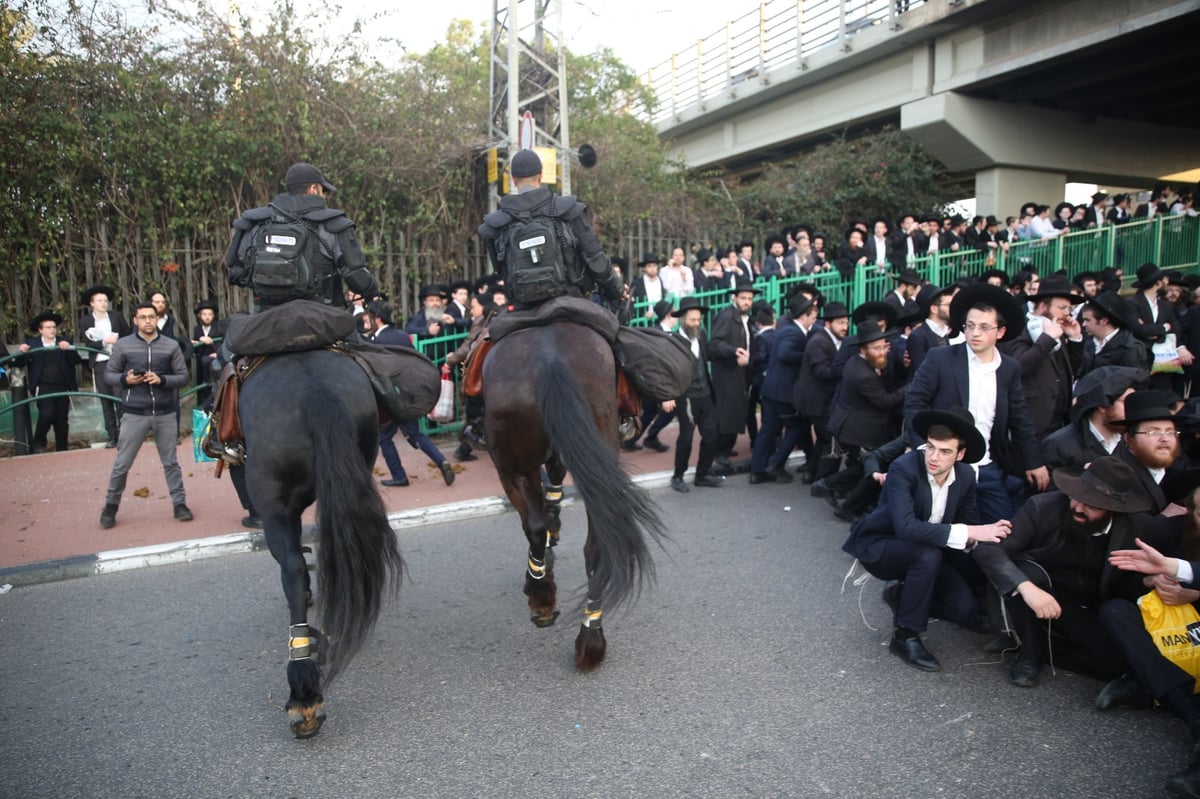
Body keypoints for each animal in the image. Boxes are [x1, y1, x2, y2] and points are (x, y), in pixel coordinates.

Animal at [480, 319, 667, 667]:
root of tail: (551, 360)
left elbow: (538, 513)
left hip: (511, 467)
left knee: (534, 526)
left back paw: (541, 595)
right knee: (597, 545)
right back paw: (591, 637)